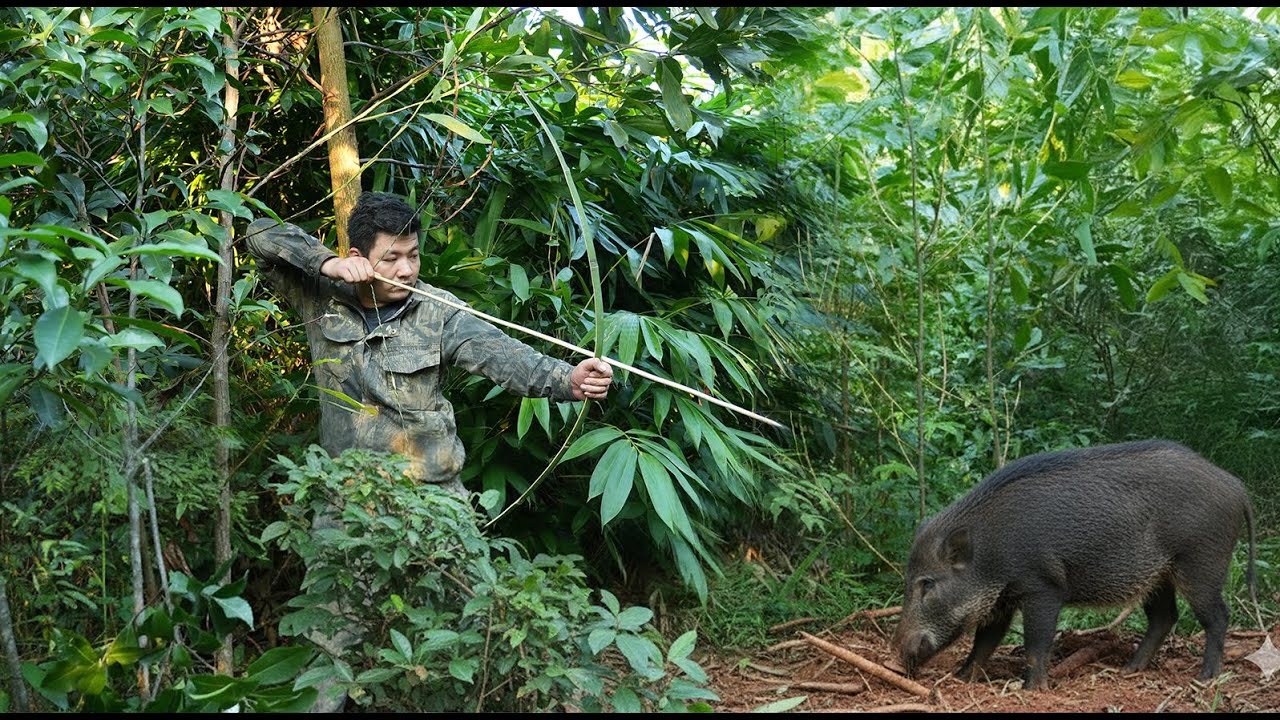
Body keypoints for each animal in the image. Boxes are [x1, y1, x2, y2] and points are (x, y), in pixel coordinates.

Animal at [892, 440, 1256, 690]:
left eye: (928, 583)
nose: (898, 660)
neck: (989, 553)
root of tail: (1238, 488)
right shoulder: (1001, 600)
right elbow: (984, 642)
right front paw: (961, 677)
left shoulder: (1042, 587)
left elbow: (1035, 642)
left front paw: (1032, 689)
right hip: (1158, 576)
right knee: (1165, 617)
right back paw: (1128, 670)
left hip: (1201, 563)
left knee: (1217, 615)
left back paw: (1206, 677)